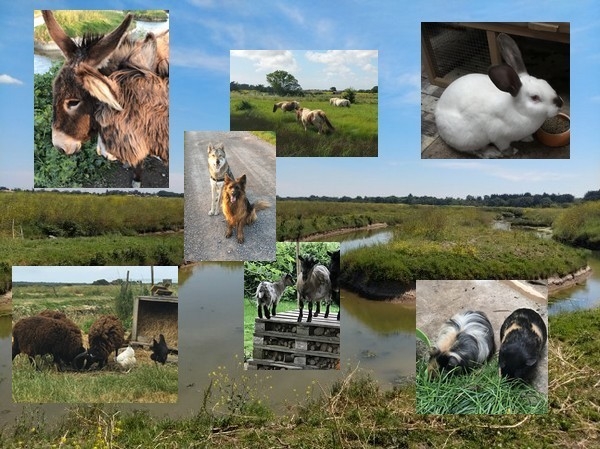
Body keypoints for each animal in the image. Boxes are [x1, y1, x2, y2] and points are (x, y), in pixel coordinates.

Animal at [434, 32, 564, 158]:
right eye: (535, 97)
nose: (560, 103)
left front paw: (528, 138)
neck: (519, 111)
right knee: (474, 151)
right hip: (470, 139)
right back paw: (492, 153)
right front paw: (512, 151)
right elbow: (504, 147)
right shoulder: (500, 137)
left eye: (546, 83)